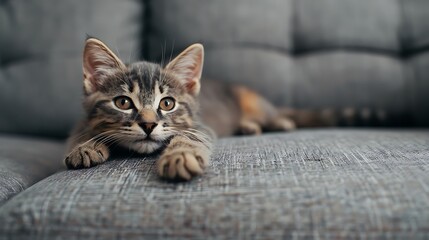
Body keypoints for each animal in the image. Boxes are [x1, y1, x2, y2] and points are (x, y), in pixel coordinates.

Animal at [65, 38, 294, 180]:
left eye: (167, 104)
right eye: (123, 103)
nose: (148, 124)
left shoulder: (200, 126)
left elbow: (188, 137)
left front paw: (180, 156)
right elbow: (82, 131)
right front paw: (85, 146)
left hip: (252, 101)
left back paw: (278, 123)